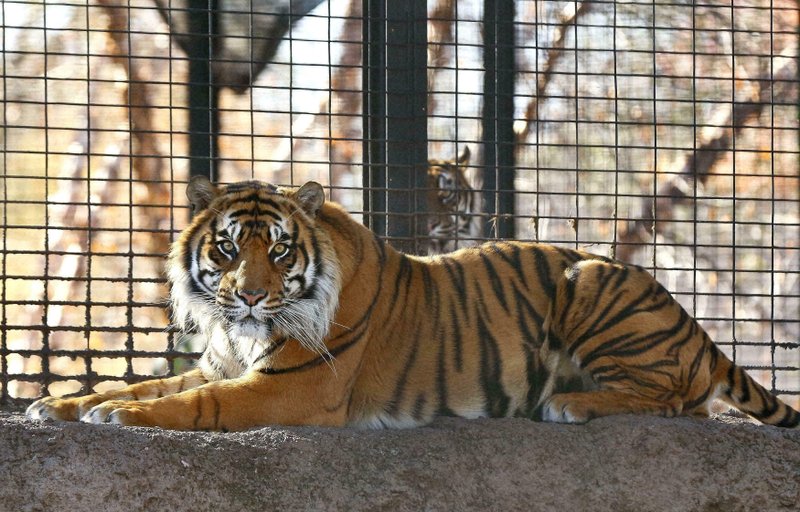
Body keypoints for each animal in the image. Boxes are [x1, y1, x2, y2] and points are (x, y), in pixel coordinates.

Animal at [27, 177, 800, 431]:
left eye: (277, 251)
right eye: (226, 248)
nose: (247, 295)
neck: (239, 333)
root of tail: (701, 334)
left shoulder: (290, 388)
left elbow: (192, 404)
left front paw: (119, 417)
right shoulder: (223, 361)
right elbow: (147, 382)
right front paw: (60, 404)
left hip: (589, 279)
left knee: (677, 400)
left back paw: (571, 402)